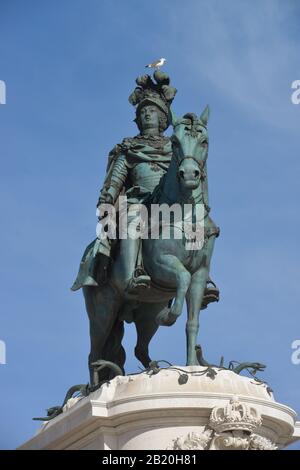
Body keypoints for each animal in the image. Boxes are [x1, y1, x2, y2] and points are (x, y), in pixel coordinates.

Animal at [83, 107, 219, 386]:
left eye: (204, 141)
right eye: (175, 142)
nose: (190, 175)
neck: (184, 214)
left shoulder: (201, 273)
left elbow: (192, 322)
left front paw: (192, 367)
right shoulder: (160, 263)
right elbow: (182, 277)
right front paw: (168, 317)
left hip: (147, 309)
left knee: (139, 348)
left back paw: (154, 368)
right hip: (103, 312)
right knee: (94, 352)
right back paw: (96, 386)